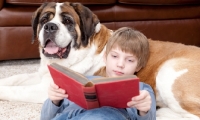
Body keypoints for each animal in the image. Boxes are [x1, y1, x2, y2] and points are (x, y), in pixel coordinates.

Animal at [0, 1, 199, 119]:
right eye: (44, 20)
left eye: (67, 21)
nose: (50, 27)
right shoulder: (42, 75)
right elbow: (16, 78)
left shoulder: (42, 89)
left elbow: (17, 90)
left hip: (168, 72)